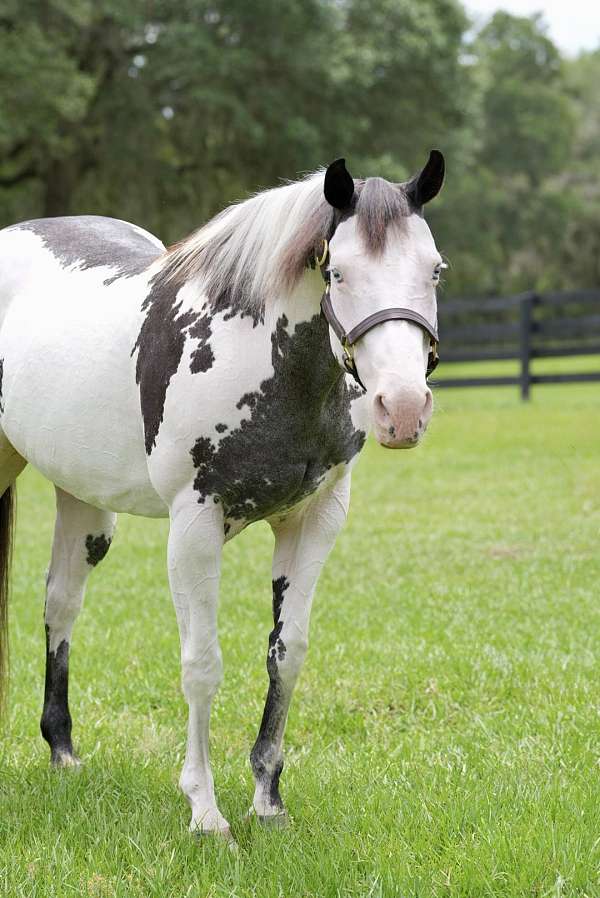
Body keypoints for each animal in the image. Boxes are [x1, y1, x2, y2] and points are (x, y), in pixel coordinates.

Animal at [0, 152, 445, 840]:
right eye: (337, 272)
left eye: (435, 270)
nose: (401, 409)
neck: (257, 354)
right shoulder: (194, 526)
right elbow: (202, 666)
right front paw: (206, 813)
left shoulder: (314, 520)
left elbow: (288, 654)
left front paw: (268, 800)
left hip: (83, 499)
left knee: (61, 603)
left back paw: (63, 752)